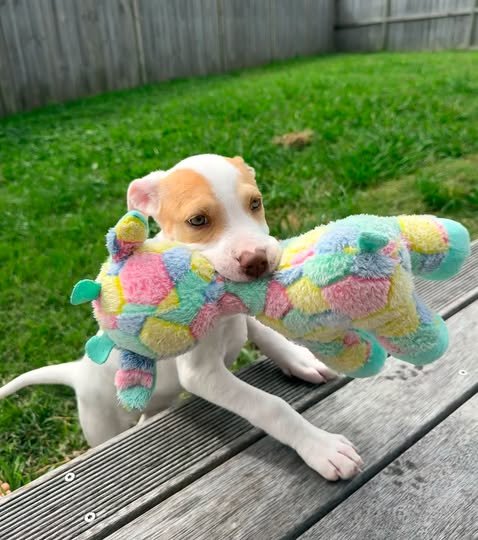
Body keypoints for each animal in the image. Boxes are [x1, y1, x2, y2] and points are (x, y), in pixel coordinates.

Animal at [0, 154, 362, 481]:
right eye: (198, 221)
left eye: (255, 203)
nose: (257, 260)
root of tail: (78, 372)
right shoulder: (202, 374)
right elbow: (270, 406)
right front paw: (322, 448)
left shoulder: (241, 312)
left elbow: (265, 333)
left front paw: (301, 361)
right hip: (101, 422)